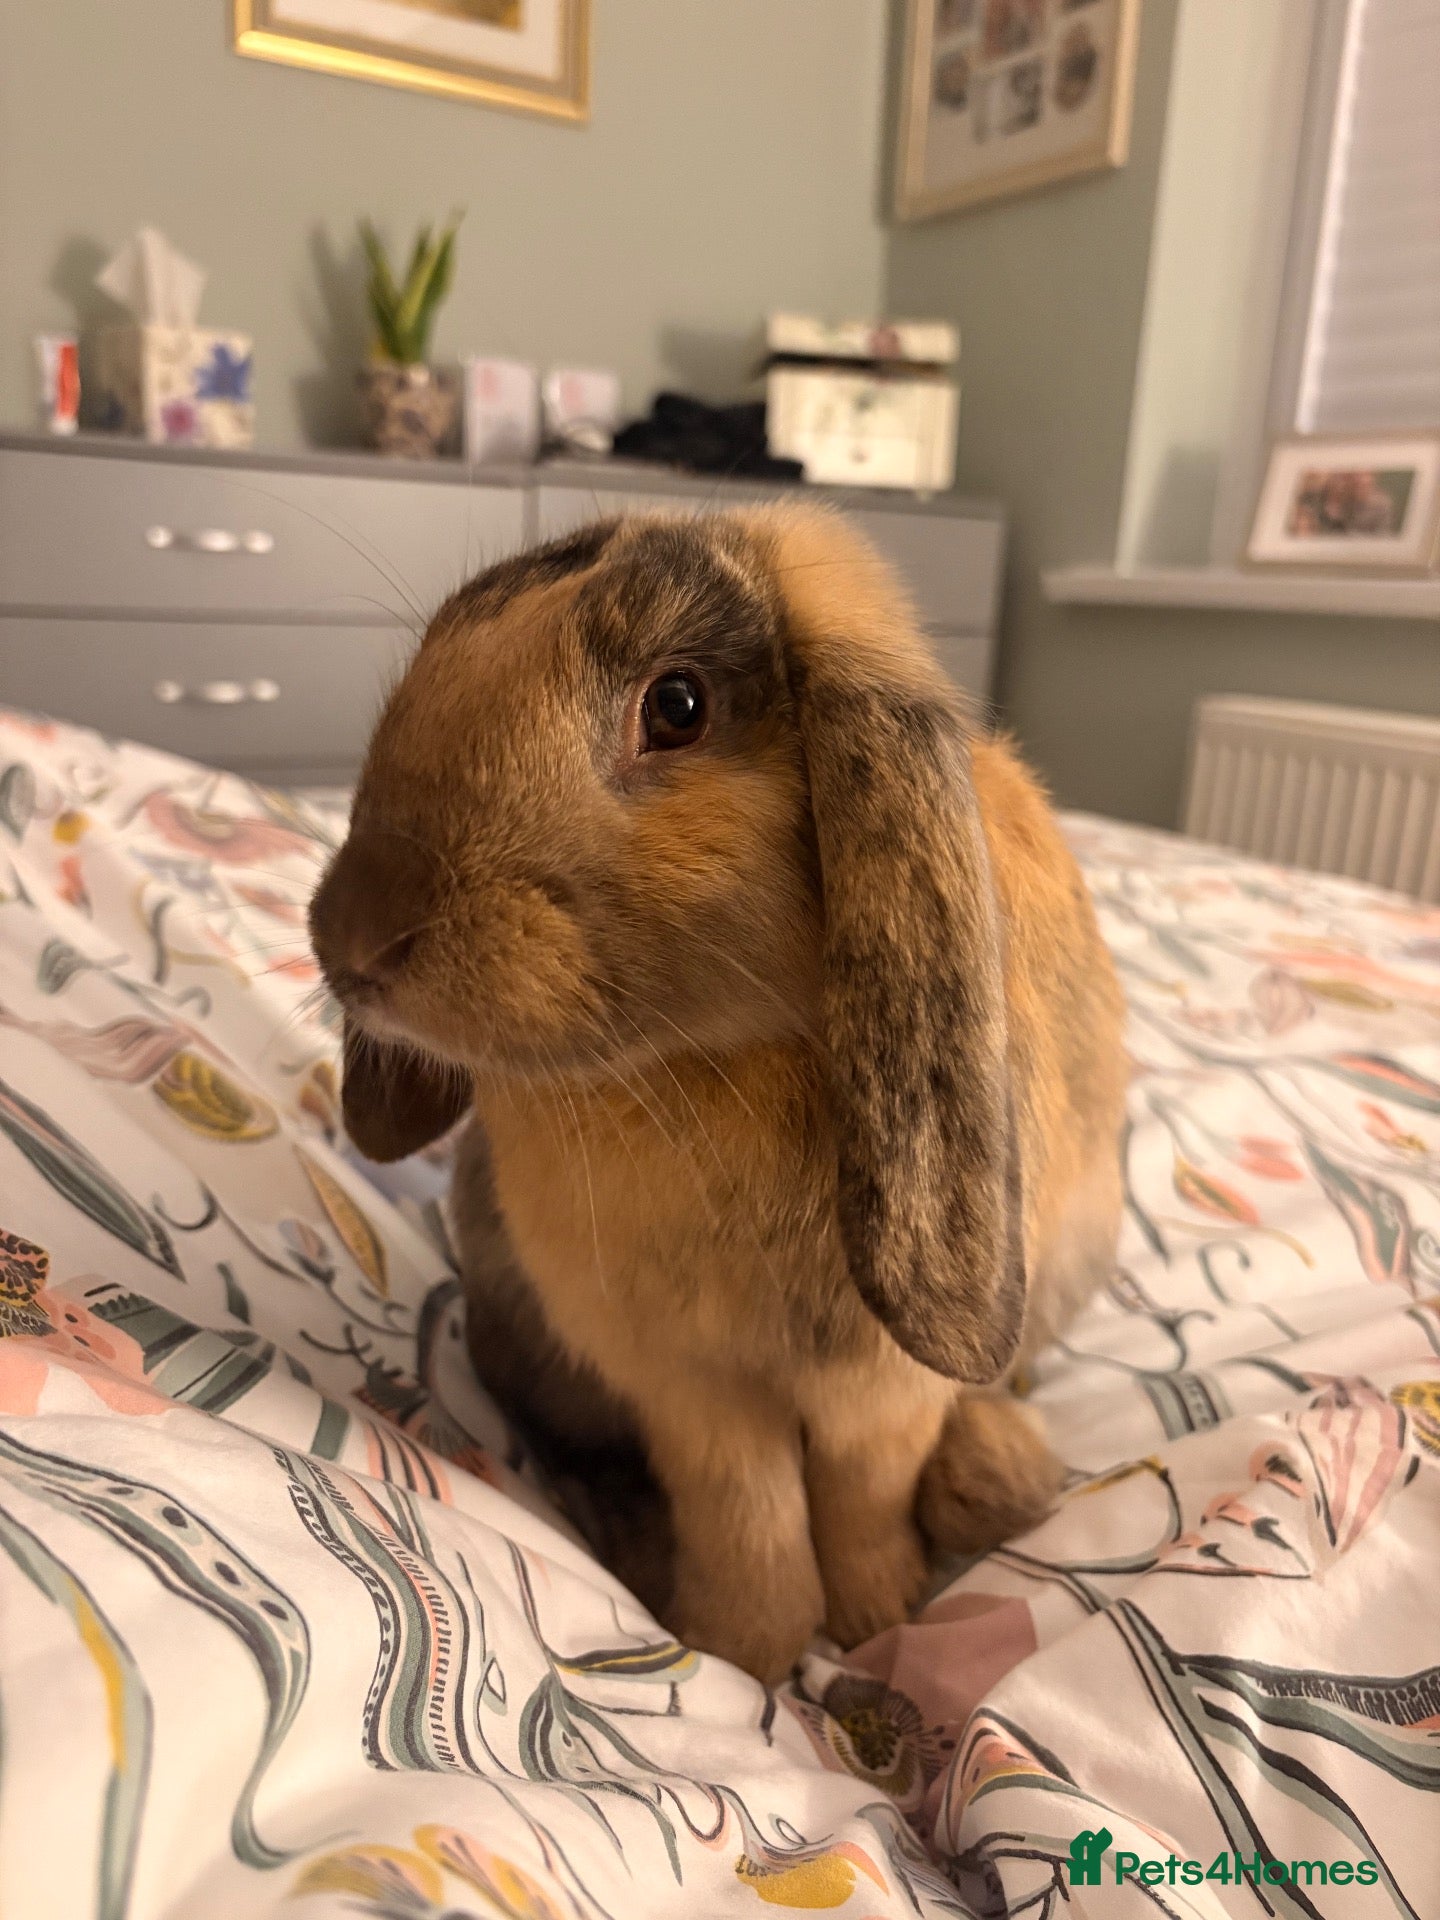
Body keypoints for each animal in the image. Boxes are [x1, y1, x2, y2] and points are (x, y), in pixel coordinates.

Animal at [309, 505, 1128, 1683]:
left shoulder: (882, 1388)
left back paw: (993, 1480)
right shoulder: (686, 1389)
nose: (353, 936)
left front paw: (877, 1625)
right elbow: (749, 1514)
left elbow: (861, 1499)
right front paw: (744, 1652)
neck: (701, 1060)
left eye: (678, 706)